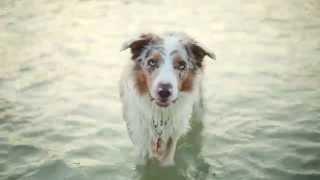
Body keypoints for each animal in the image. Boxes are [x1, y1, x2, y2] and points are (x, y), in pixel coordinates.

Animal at [119, 32, 214, 166]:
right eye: (152, 62)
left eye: (182, 65)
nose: (164, 92)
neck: (160, 115)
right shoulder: (139, 139)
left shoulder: (172, 138)